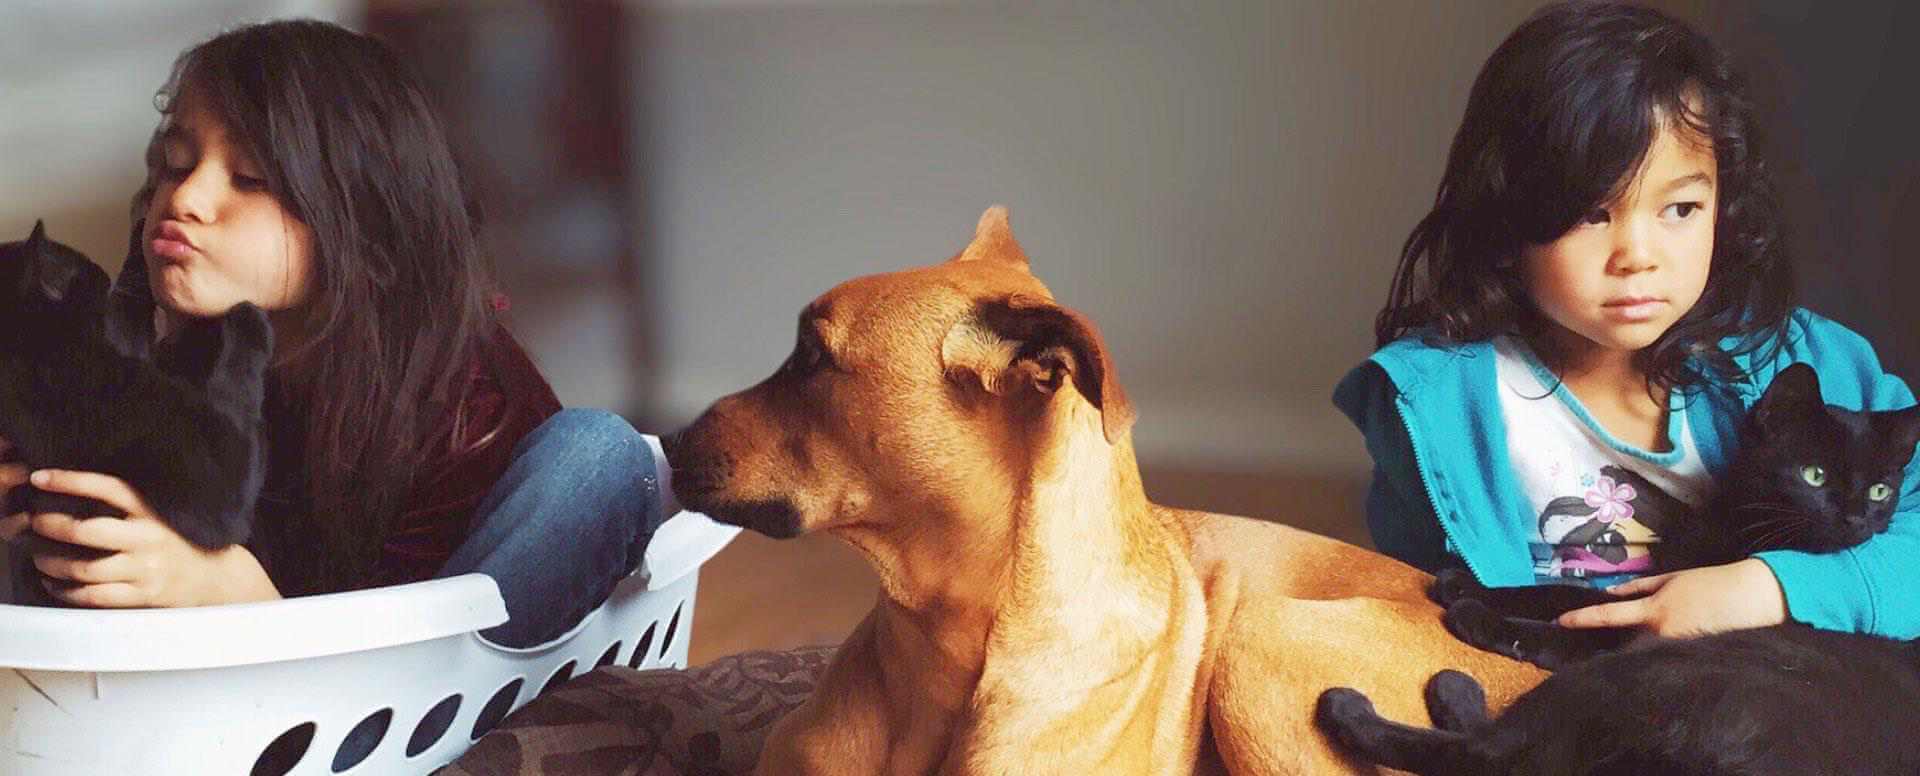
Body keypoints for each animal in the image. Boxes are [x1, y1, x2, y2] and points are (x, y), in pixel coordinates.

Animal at [1436, 361, 1912, 668]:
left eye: (1879, 490)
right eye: (1814, 475)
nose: (1855, 517)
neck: (1740, 530)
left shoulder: (1645, 619)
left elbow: (1582, 624)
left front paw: (1482, 617)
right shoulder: (1651, 582)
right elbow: (1563, 594)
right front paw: (1466, 585)